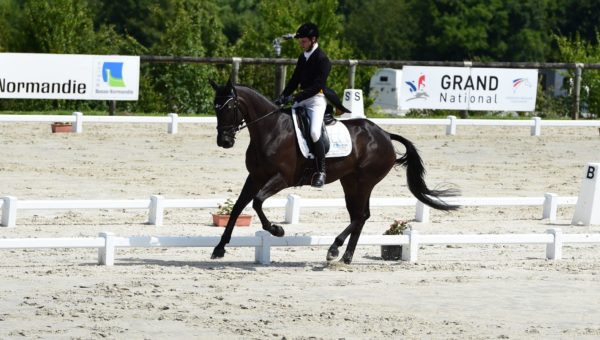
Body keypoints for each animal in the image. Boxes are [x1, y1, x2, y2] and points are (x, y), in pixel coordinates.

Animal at [209, 79, 458, 262]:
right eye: (215, 108)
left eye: (229, 107)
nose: (224, 141)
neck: (271, 130)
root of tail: (385, 134)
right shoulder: (255, 176)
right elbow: (238, 206)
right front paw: (219, 248)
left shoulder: (282, 178)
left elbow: (257, 201)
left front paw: (276, 230)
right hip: (350, 182)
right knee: (359, 216)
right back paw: (346, 256)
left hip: (365, 181)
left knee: (361, 216)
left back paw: (335, 249)